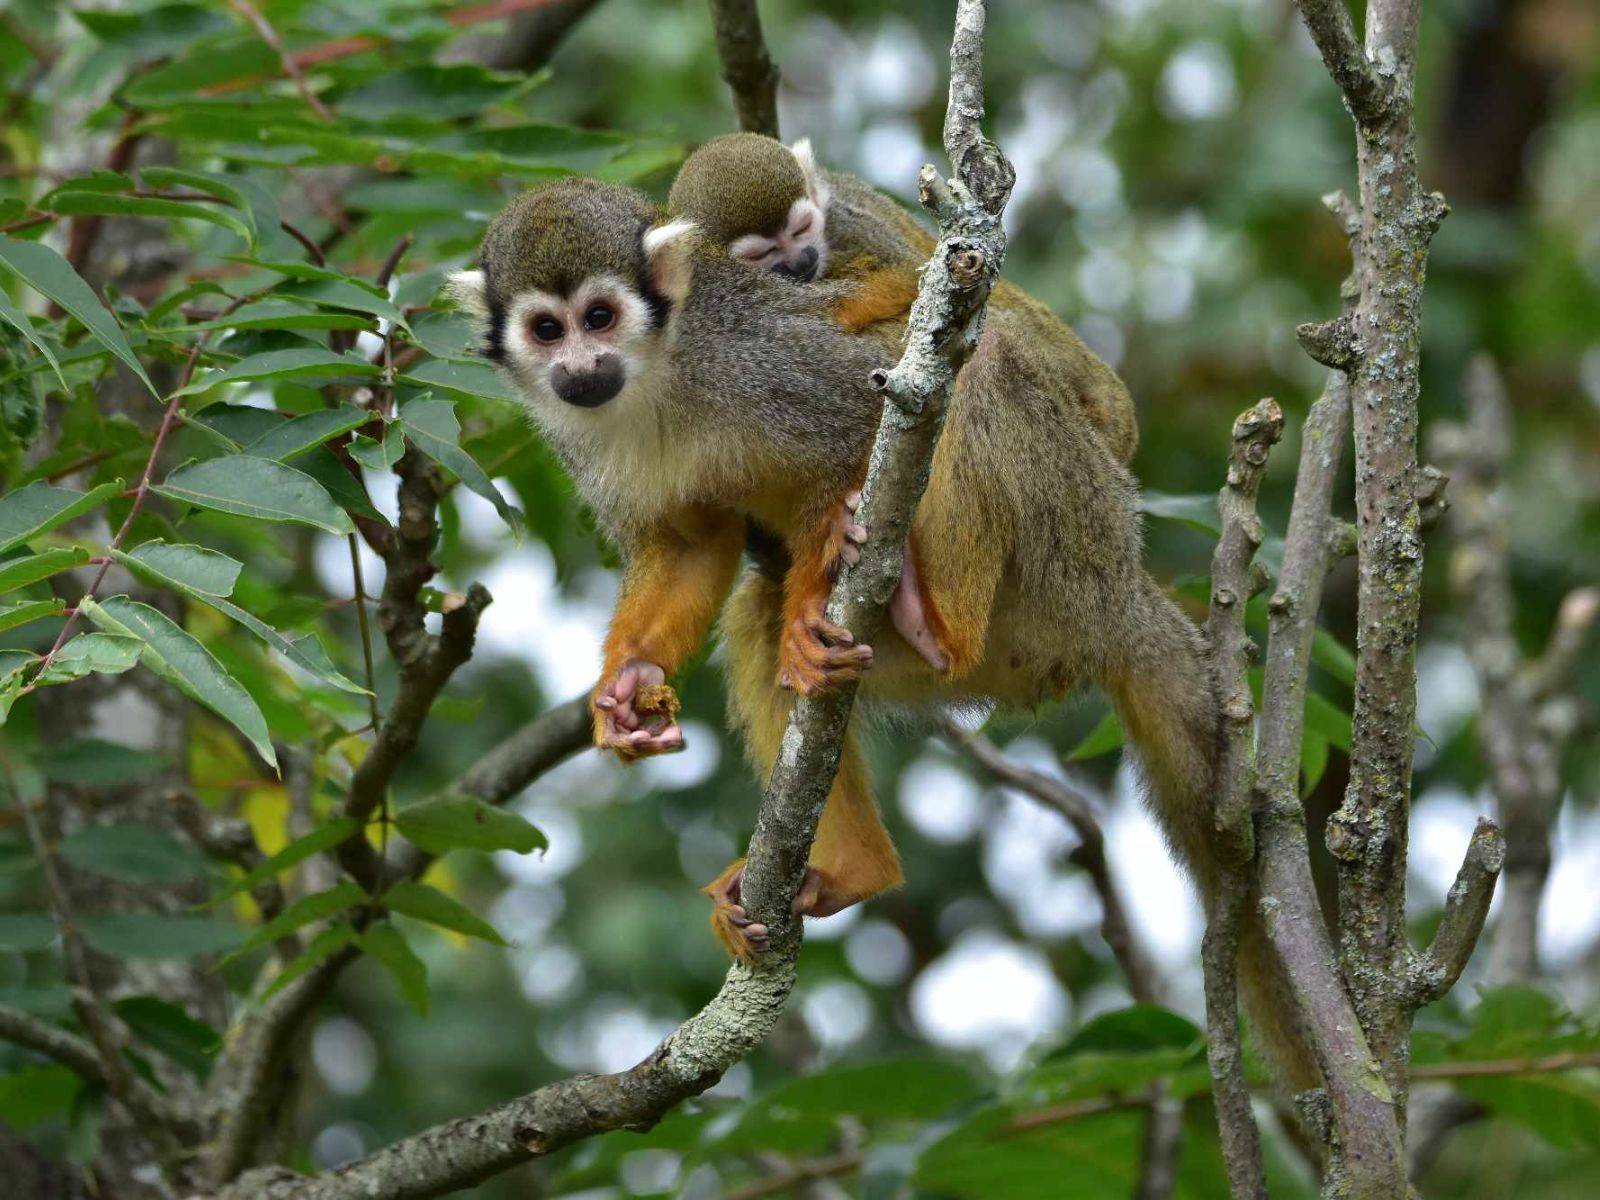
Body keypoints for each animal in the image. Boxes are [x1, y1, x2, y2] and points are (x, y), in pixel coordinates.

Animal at [451, 176, 1312, 1100]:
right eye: (548, 330)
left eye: (601, 317)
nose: (581, 369)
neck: (657, 377)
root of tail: (1122, 591)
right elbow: (690, 543)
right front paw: (627, 685)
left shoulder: (756, 351)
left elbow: (858, 426)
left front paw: (811, 597)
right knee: (757, 618)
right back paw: (854, 866)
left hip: (1067, 542)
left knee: (984, 365)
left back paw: (932, 619)